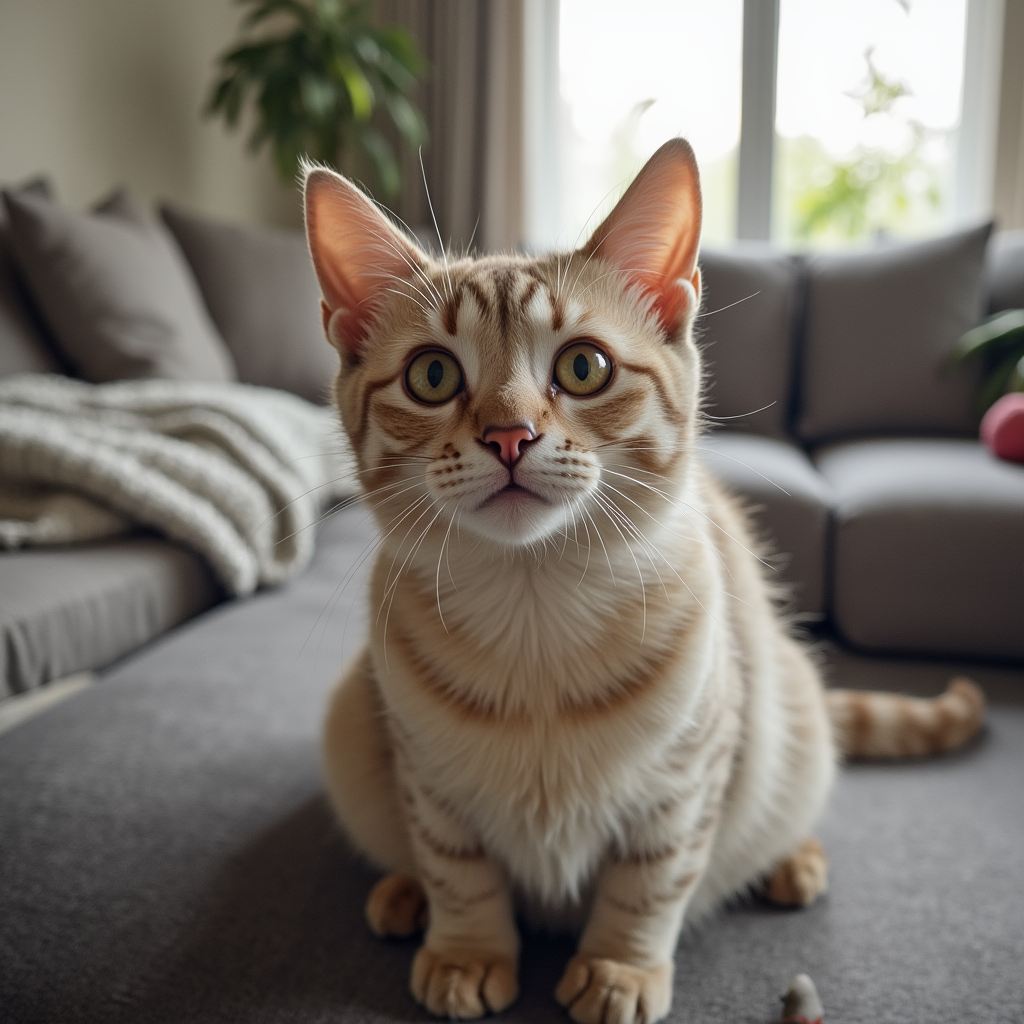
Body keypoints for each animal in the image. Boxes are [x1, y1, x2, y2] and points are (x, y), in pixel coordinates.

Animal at [303, 138, 983, 1024]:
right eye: (431, 377)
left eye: (583, 366)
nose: (509, 435)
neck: (535, 610)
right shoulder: (427, 777)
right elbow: (457, 867)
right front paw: (466, 950)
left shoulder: (687, 782)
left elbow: (650, 883)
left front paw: (618, 968)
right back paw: (401, 894)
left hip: (788, 708)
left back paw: (791, 860)